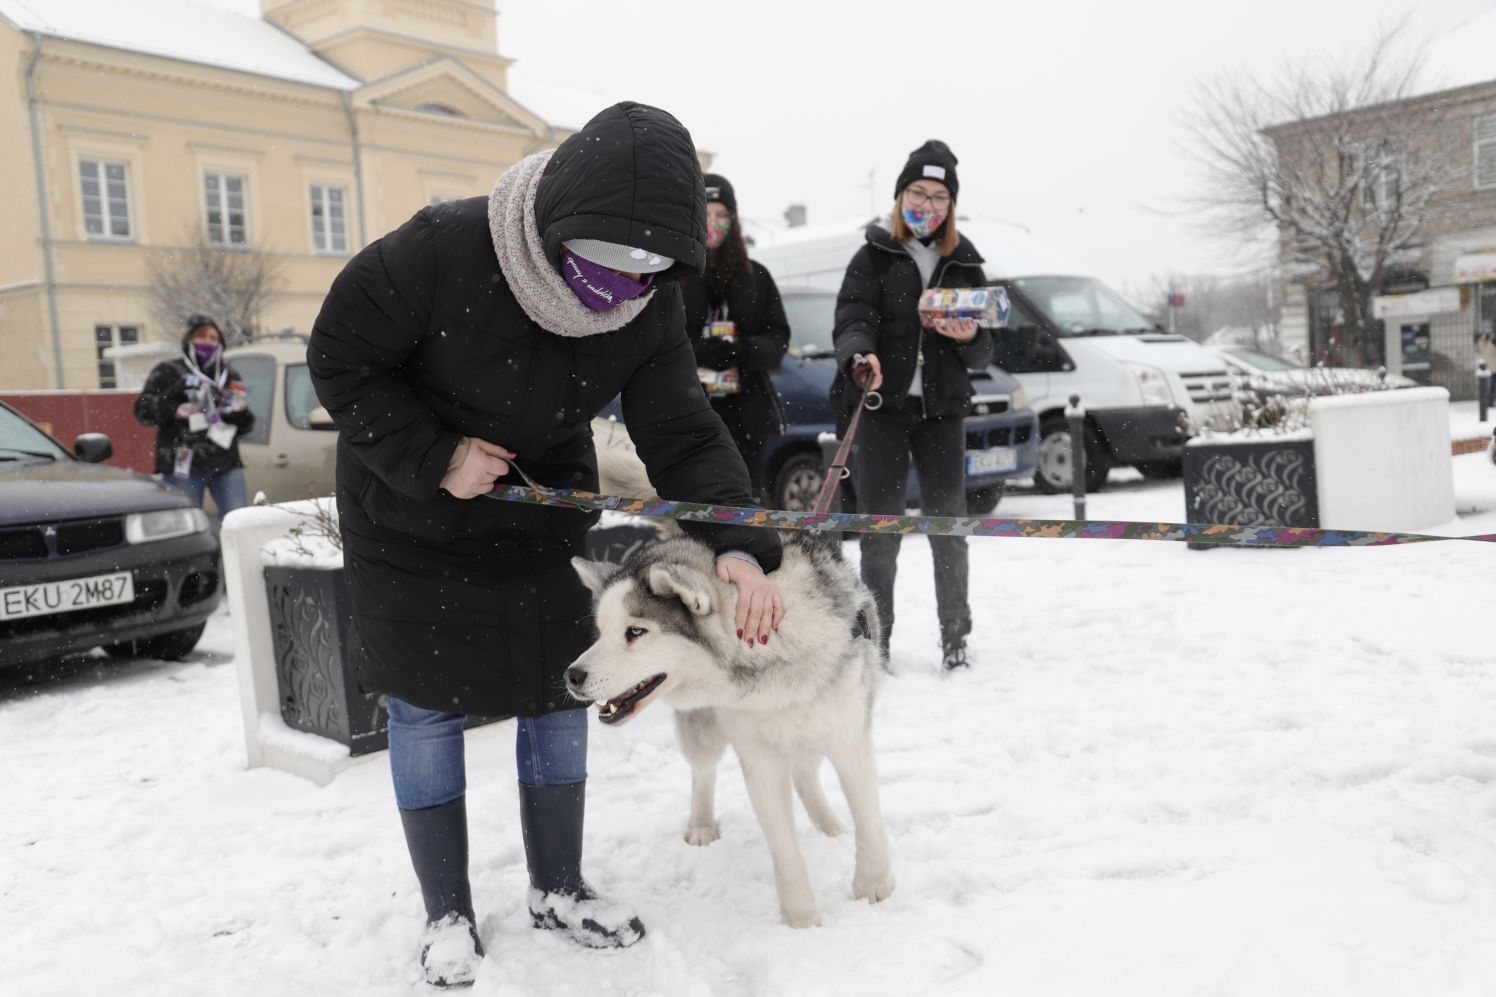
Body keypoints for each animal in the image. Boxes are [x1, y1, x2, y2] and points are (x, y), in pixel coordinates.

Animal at [562, 532, 885, 928]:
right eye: (601, 632)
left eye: (635, 631)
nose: (572, 676)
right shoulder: (759, 761)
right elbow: (784, 847)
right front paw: (802, 920)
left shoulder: (849, 736)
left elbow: (868, 820)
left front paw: (874, 885)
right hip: (706, 729)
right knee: (704, 770)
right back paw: (702, 824)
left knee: (805, 773)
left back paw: (830, 828)